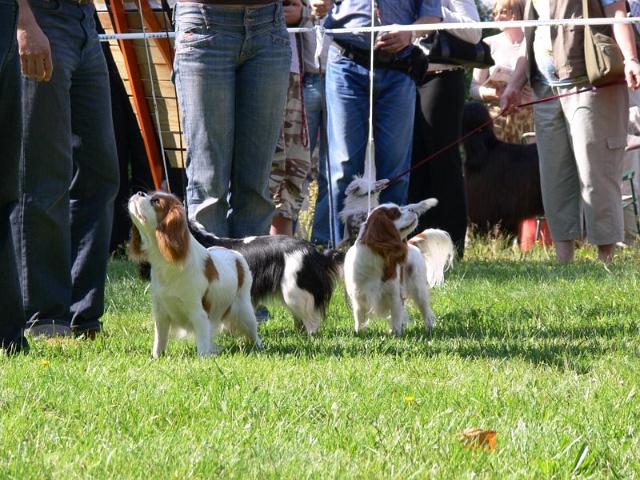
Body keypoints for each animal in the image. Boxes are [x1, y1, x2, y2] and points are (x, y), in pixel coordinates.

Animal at [128, 192, 262, 356]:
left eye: (156, 201)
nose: (139, 193)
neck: (166, 262)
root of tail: (236, 254)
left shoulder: (198, 313)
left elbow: (203, 345)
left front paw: (203, 359)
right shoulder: (161, 313)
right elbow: (159, 341)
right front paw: (156, 357)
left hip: (244, 310)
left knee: (253, 331)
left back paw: (259, 347)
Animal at [344, 200, 452, 335]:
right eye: (395, 213)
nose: (412, 209)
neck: (379, 257)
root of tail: (410, 244)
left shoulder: (394, 295)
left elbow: (396, 316)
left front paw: (396, 333)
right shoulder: (359, 297)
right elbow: (359, 318)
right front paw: (360, 333)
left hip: (418, 289)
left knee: (425, 310)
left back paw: (429, 328)